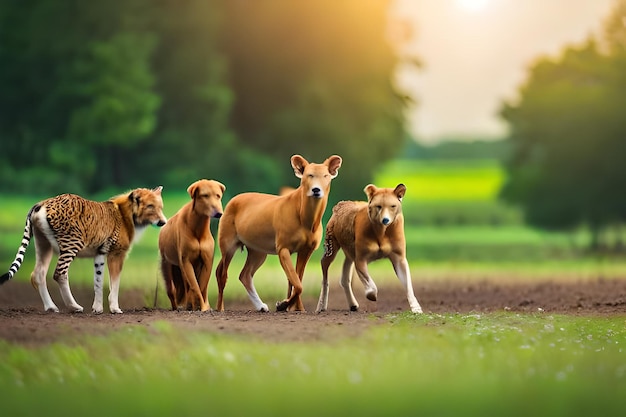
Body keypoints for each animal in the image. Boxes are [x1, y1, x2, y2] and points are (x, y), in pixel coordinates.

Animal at [157, 177, 225, 310]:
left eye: (218, 195)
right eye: (205, 195)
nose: (219, 212)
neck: (198, 229)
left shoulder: (207, 260)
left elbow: (202, 285)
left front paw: (204, 306)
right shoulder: (185, 259)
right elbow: (194, 285)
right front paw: (197, 305)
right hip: (167, 263)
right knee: (172, 289)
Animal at [214, 154, 342, 310]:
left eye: (326, 175)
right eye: (309, 175)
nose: (316, 190)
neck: (307, 219)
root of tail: (231, 201)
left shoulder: (307, 249)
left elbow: (297, 278)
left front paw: (298, 308)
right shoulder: (283, 247)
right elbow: (296, 282)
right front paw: (283, 304)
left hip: (258, 251)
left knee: (244, 274)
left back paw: (261, 306)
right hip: (228, 243)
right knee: (222, 274)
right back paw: (220, 308)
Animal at [314, 183, 422, 312]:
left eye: (393, 206)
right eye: (378, 206)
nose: (385, 219)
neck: (382, 232)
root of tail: (341, 204)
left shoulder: (399, 258)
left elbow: (408, 284)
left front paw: (416, 308)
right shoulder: (361, 259)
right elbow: (372, 287)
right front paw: (371, 295)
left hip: (350, 252)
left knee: (344, 278)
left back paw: (353, 304)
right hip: (331, 246)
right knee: (324, 270)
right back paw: (321, 305)